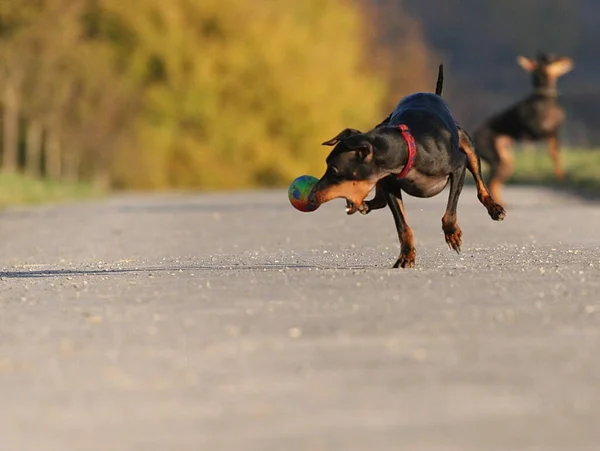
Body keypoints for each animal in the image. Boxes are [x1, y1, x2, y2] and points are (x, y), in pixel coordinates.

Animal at [310, 64, 506, 268]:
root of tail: (433, 94)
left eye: (333, 169)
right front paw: (406, 256)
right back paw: (364, 206)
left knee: (480, 184)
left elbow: (450, 210)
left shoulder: (459, 166)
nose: (311, 197)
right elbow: (402, 225)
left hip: (468, 146)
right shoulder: (389, 183)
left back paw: (495, 209)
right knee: (379, 200)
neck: (409, 149)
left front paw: (452, 233)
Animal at [474, 51, 576, 205]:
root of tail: (475, 134)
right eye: (550, 60)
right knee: (491, 182)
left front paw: (561, 175)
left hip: (506, 163)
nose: (569, 60)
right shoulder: (535, 131)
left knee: (496, 182)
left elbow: (555, 153)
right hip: (495, 159)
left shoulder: (554, 134)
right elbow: (547, 139)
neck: (545, 99)